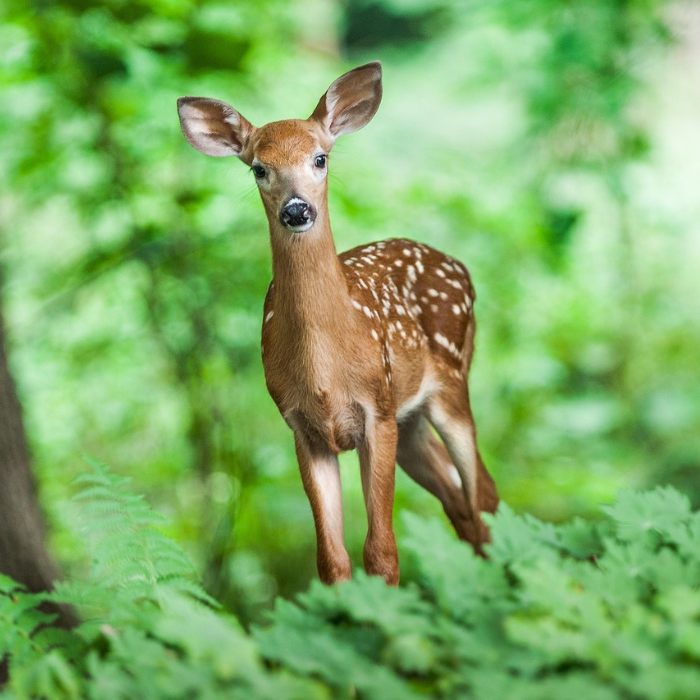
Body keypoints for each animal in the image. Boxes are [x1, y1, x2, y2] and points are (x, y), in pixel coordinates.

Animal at [178, 63, 500, 584]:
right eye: (258, 168)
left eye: (320, 158)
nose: (296, 209)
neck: (326, 370)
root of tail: (460, 267)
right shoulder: (302, 428)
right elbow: (331, 559)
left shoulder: (377, 411)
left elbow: (382, 551)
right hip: (410, 420)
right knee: (459, 500)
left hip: (450, 383)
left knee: (483, 494)